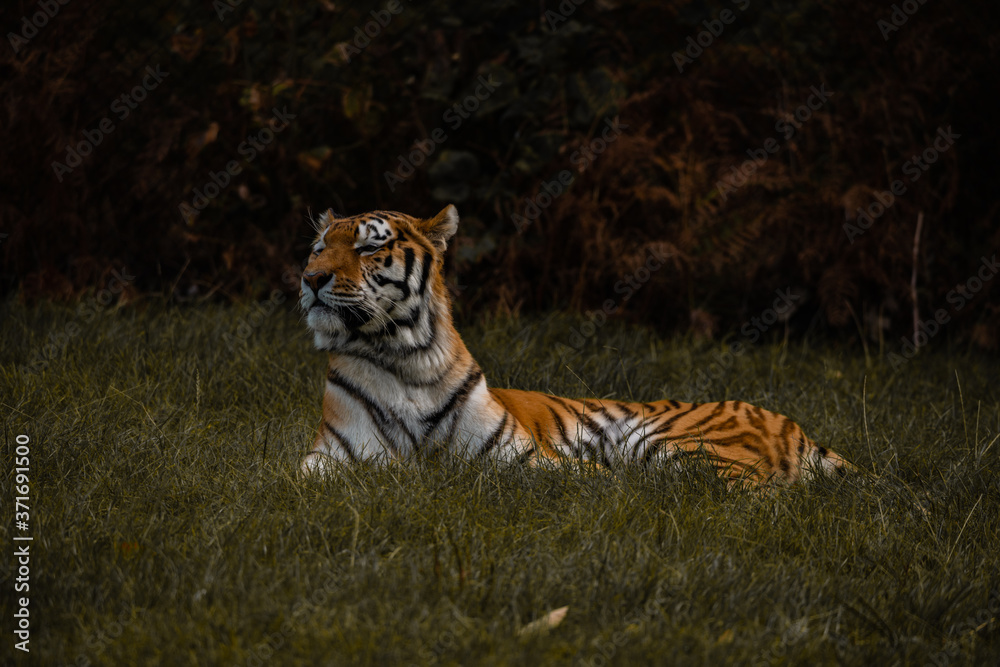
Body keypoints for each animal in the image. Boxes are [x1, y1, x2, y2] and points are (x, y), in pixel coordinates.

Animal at [297, 205, 852, 483]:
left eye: (368, 247)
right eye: (319, 248)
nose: (310, 279)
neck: (403, 356)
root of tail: (791, 422)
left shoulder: (525, 456)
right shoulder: (331, 455)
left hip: (677, 446)